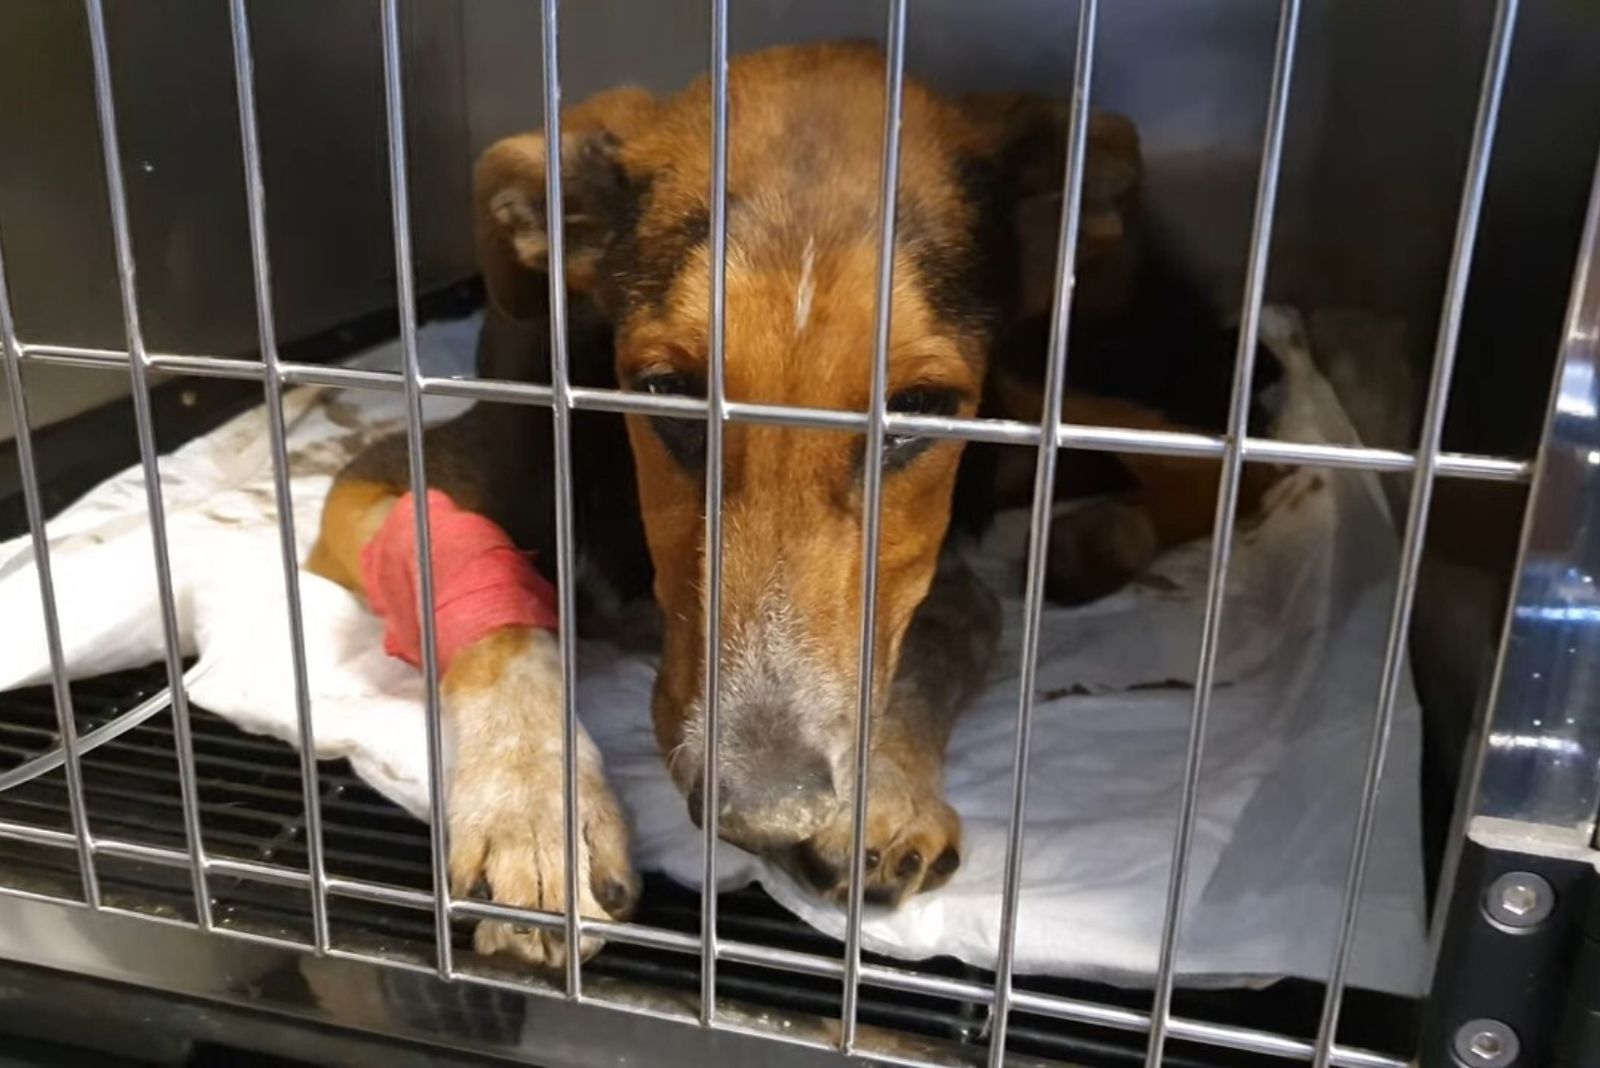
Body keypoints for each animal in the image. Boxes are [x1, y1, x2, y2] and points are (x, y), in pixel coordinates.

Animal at [305, 43, 1280, 965]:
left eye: (921, 410)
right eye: (664, 391)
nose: (761, 812)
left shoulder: (939, 565)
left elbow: (942, 627)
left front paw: (885, 784)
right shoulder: (384, 482)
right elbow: (494, 607)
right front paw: (536, 814)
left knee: (1232, 472)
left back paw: (1093, 539)